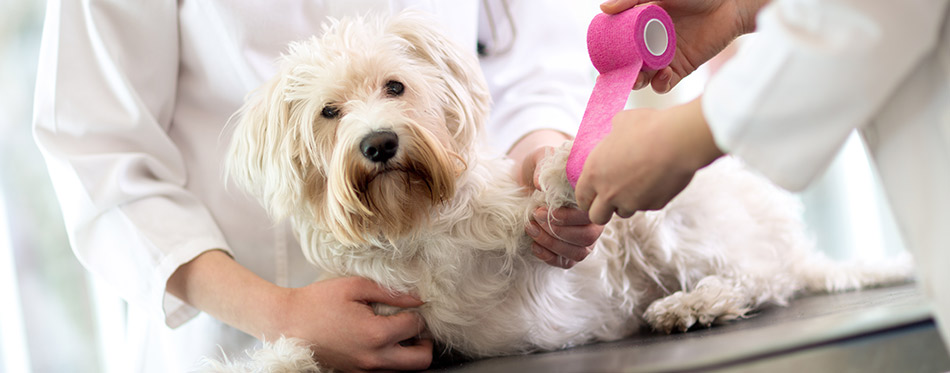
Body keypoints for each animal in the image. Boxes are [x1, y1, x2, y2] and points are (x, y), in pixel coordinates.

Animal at [216, 10, 916, 370]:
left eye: (395, 87)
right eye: (330, 113)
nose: (380, 144)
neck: (414, 222)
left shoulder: (534, 251)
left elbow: (533, 209)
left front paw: (560, 170)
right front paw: (279, 360)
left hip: (672, 227)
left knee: (761, 280)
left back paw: (692, 305)